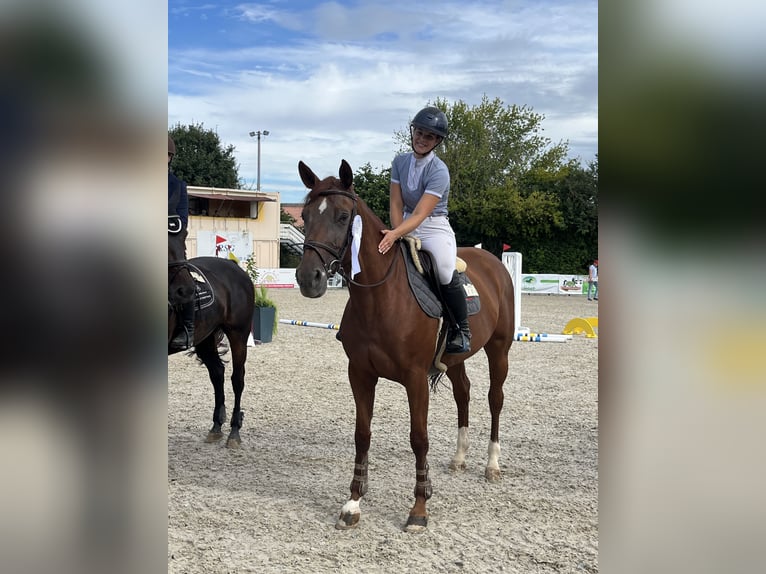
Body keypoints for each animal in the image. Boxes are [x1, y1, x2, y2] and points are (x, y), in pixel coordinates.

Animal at [168, 217, 255, 450]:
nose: (184, 291)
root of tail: (233, 266)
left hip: (239, 334)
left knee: (237, 378)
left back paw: (234, 431)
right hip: (205, 338)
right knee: (217, 373)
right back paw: (216, 426)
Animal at [296, 160, 520, 532]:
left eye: (343, 216)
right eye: (305, 215)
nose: (307, 278)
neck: (380, 297)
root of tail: (492, 261)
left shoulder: (415, 379)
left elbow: (419, 438)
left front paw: (419, 508)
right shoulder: (360, 374)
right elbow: (362, 434)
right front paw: (353, 503)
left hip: (499, 350)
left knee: (495, 399)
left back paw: (492, 465)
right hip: (455, 359)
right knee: (463, 393)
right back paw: (459, 458)